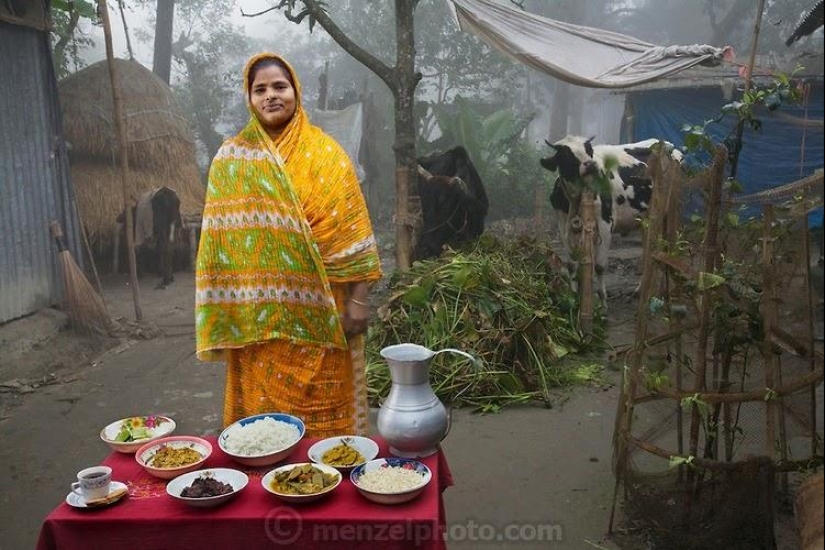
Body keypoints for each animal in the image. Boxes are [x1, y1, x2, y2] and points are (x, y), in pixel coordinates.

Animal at [536, 135, 680, 304]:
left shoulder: (605, 223)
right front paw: (573, 297)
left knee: (670, 244)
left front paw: (603, 301)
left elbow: (599, 266)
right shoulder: (563, 224)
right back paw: (640, 291)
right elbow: (571, 264)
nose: (591, 165)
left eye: (589, 151)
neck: (576, 198)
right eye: (565, 155)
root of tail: (667, 145)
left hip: (670, 209)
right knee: (648, 250)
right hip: (646, 220)